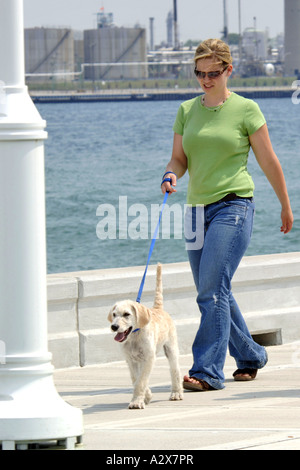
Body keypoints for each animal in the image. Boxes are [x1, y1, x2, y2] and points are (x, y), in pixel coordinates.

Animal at [108, 262, 183, 410]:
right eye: (114, 314)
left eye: (126, 314)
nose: (114, 327)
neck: (134, 336)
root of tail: (159, 308)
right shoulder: (130, 360)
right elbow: (136, 379)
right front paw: (146, 396)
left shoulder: (148, 358)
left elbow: (141, 381)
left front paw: (137, 402)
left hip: (171, 348)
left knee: (175, 370)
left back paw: (176, 393)